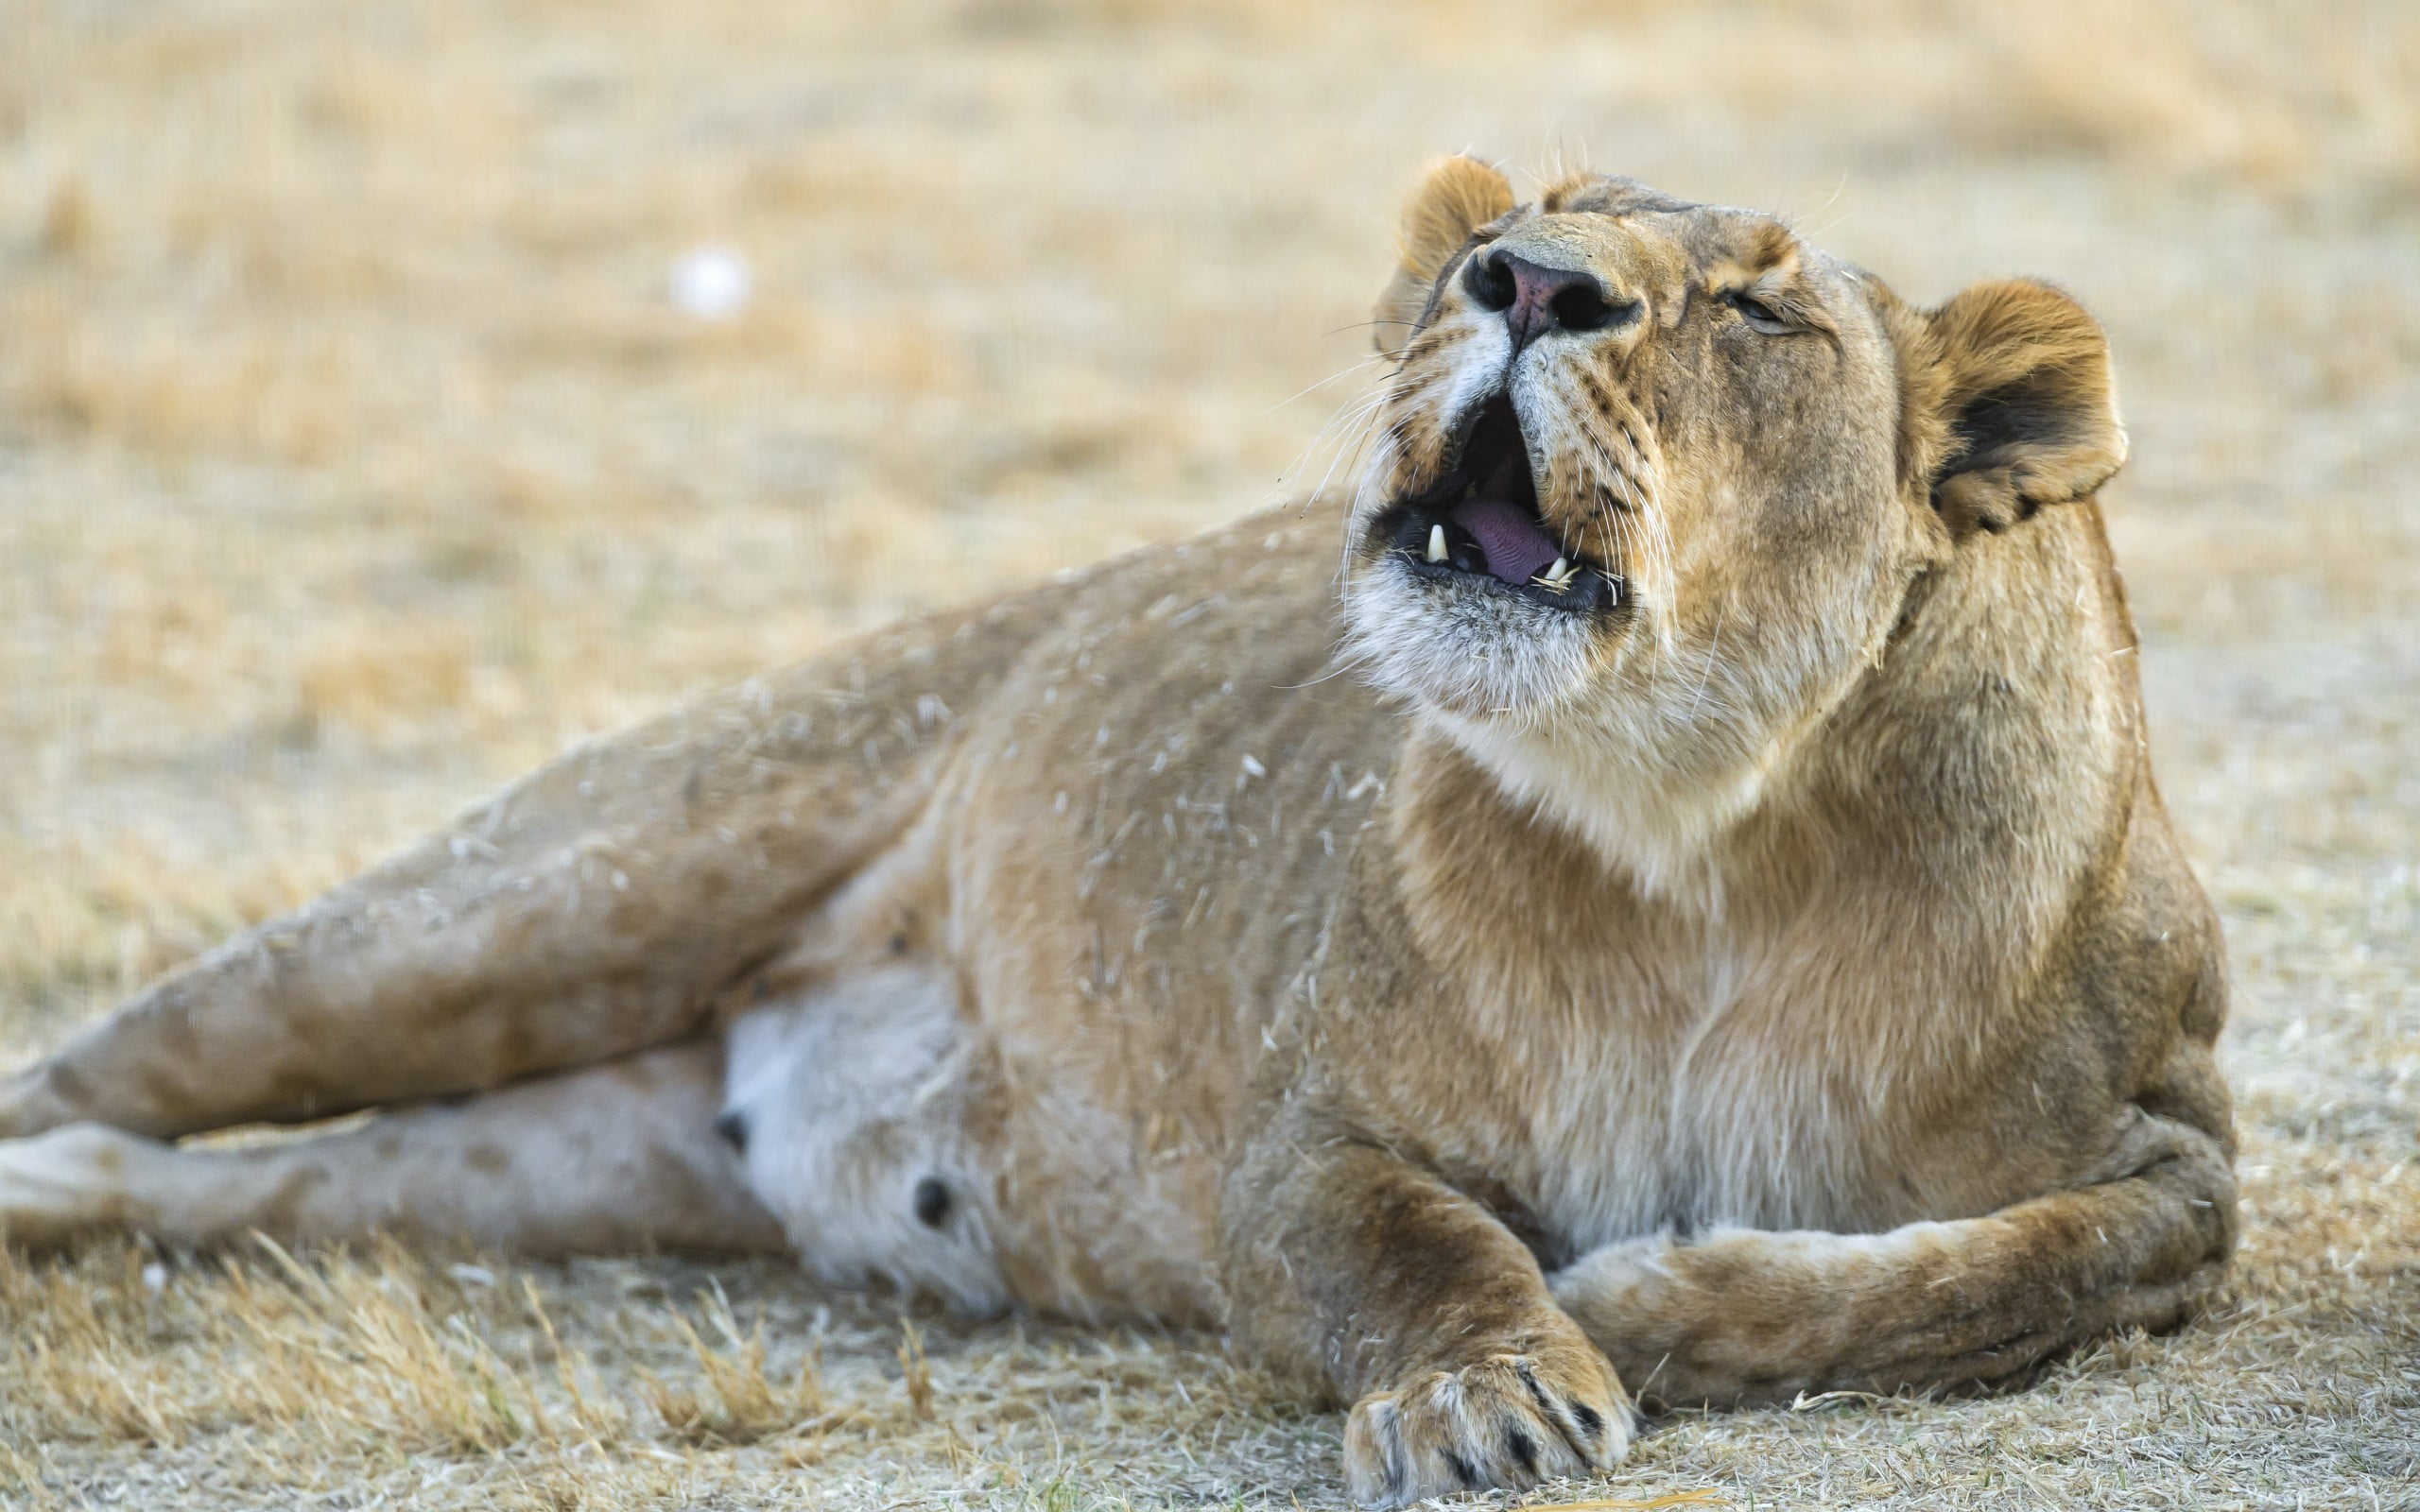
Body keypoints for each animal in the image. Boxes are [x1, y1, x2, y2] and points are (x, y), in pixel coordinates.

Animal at [0, 161, 2233, 1507]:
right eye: (1505, 231)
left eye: (1764, 317)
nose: (1520, 283)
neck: (1693, 831)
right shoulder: (1302, 1135)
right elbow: (1409, 1244)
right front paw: (1495, 1386)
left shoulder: (2180, 1141)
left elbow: (2018, 1267)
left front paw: (1654, 1303)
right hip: (528, 904)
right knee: (126, 1055)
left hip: (558, 1154)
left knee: (232, 1180)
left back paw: (66, 1204)